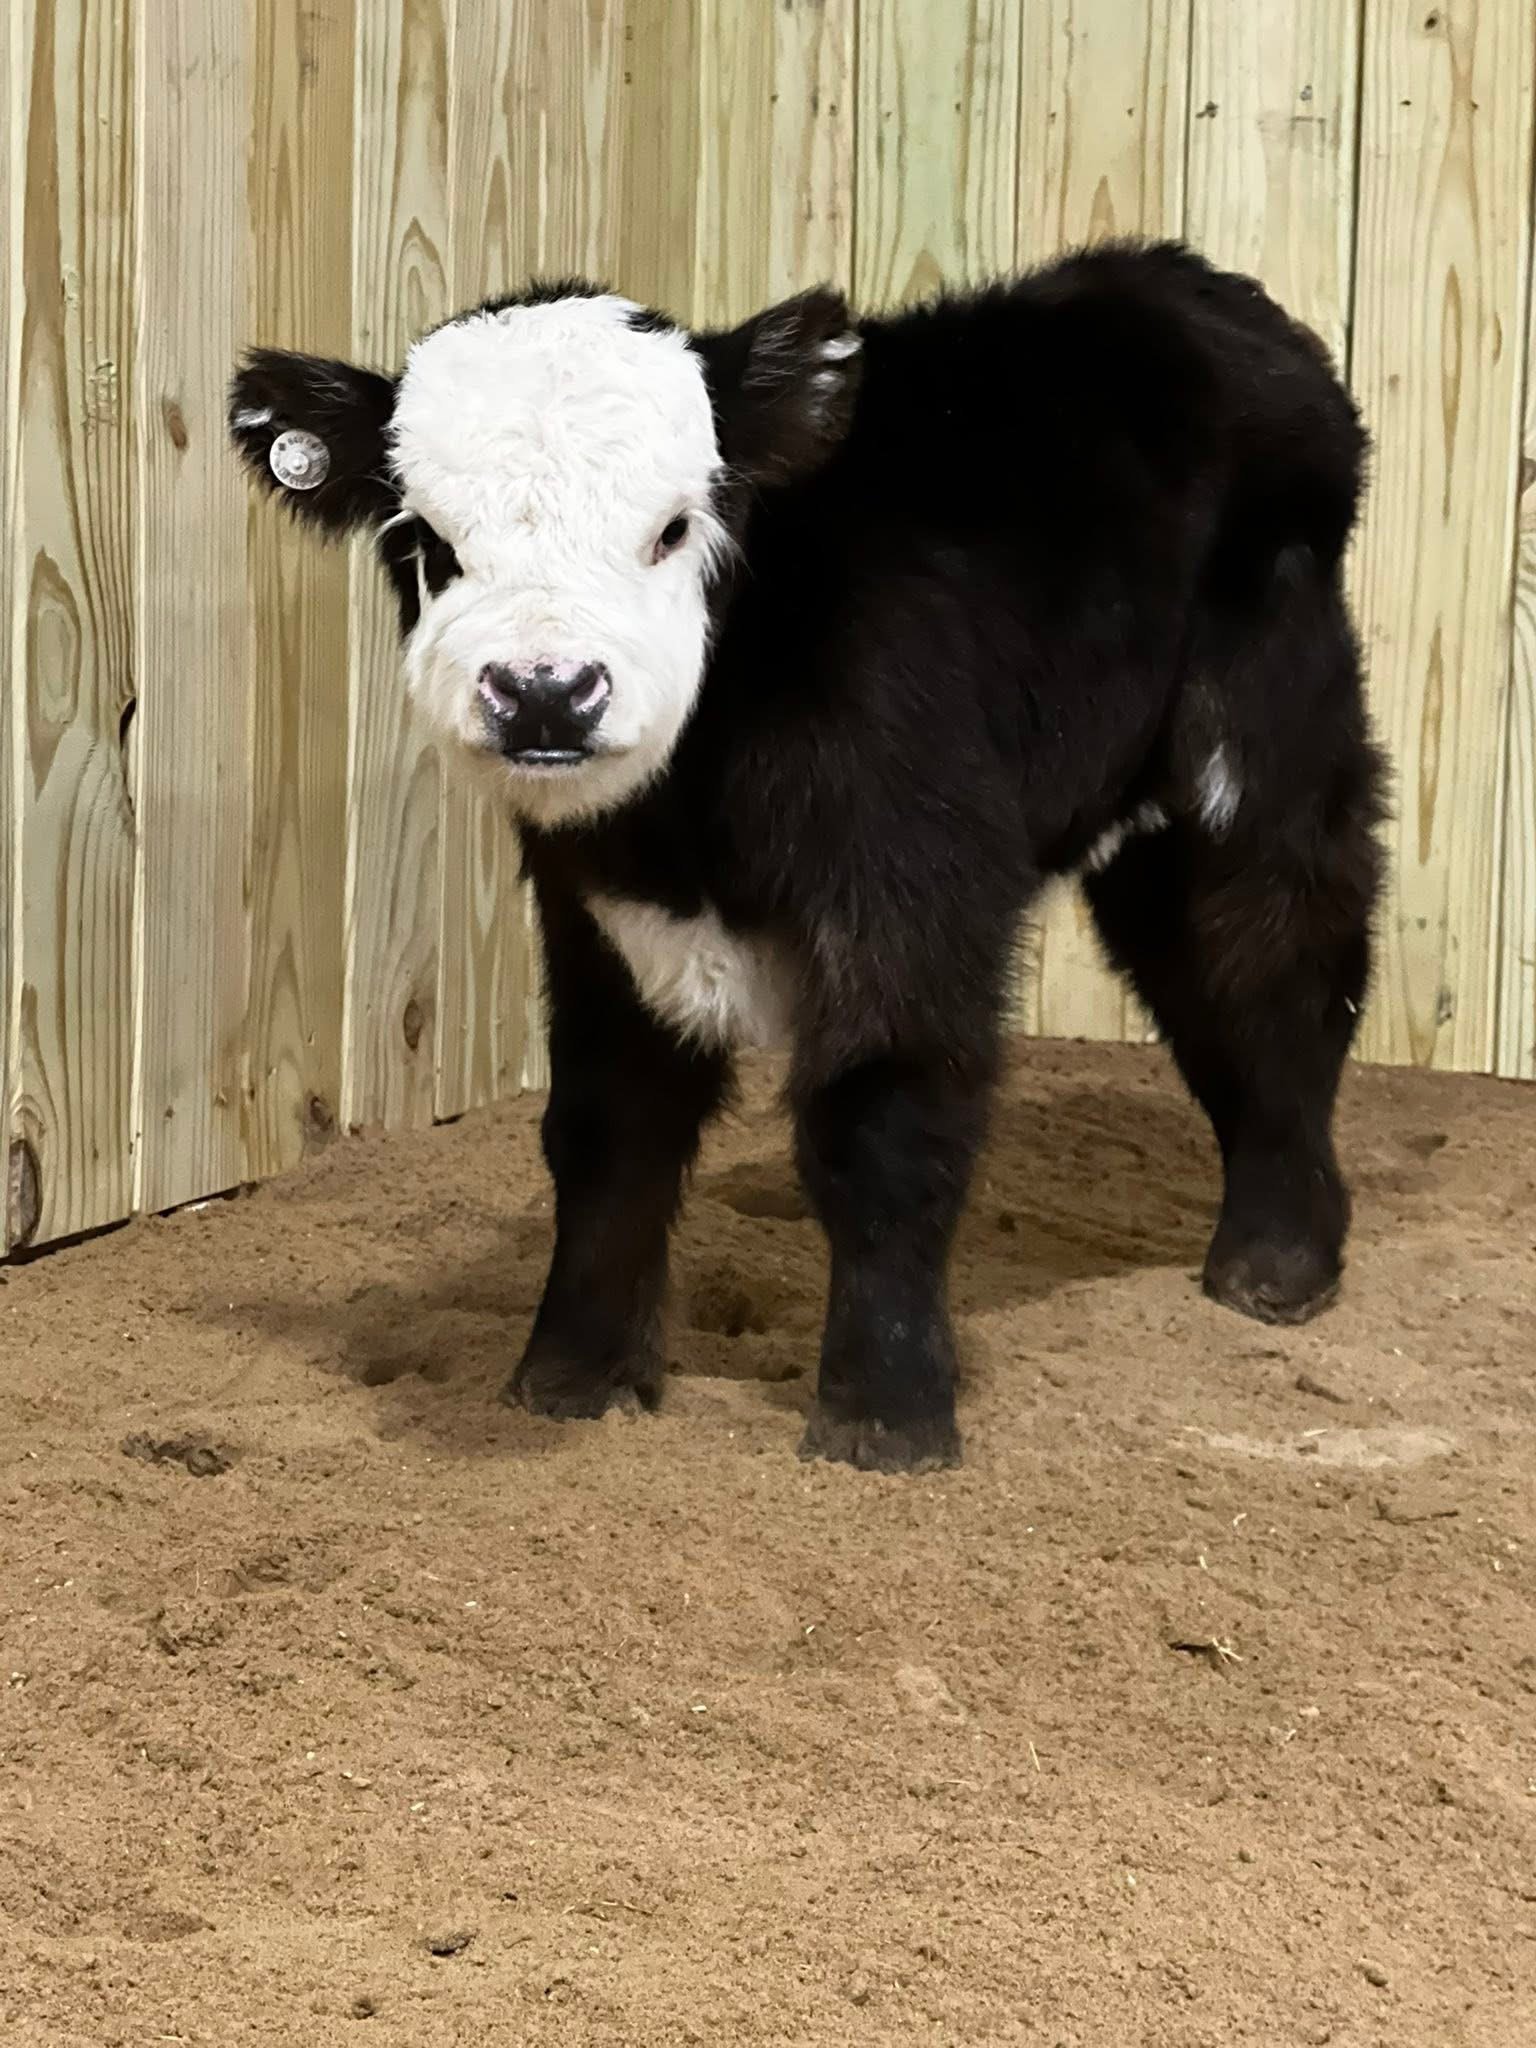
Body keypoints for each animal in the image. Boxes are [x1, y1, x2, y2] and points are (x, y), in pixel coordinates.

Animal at [229, 240, 1385, 1473]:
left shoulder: (916, 884)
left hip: (1261, 754)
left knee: (1282, 958)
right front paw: (573, 1374)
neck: (691, 821)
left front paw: (885, 1411)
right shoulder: (599, 912)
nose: (545, 689)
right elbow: (608, 1126)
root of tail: (1188, 283)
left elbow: (881, 1121)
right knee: (1198, 974)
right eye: (427, 543)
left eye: (675, 527)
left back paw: (1278, 1261)